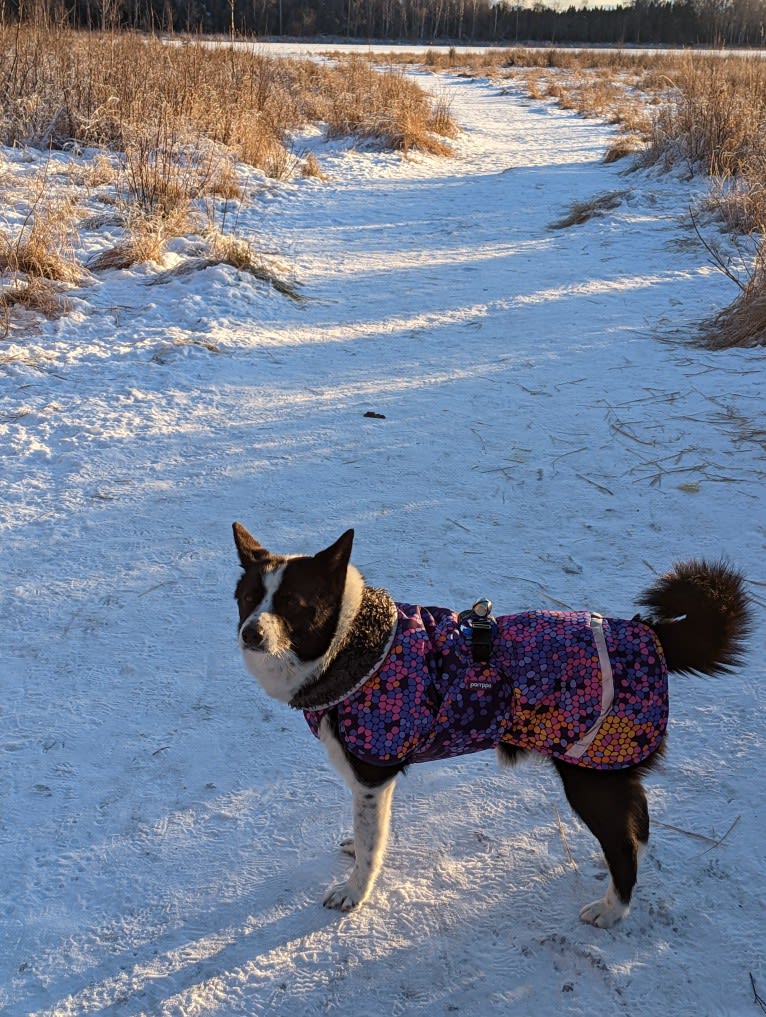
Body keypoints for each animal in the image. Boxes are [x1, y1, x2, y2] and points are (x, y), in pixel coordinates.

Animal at [231, 524, 748, 931]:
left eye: (293, 603)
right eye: (250, 598)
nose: (250, 633)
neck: (349, 642)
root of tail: (649, 632)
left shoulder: (373, 776)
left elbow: (370, 844)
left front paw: (354, 892)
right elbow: (365, 837)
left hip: (590, 778)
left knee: (622, 849)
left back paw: (610, 911)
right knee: (638, 829)